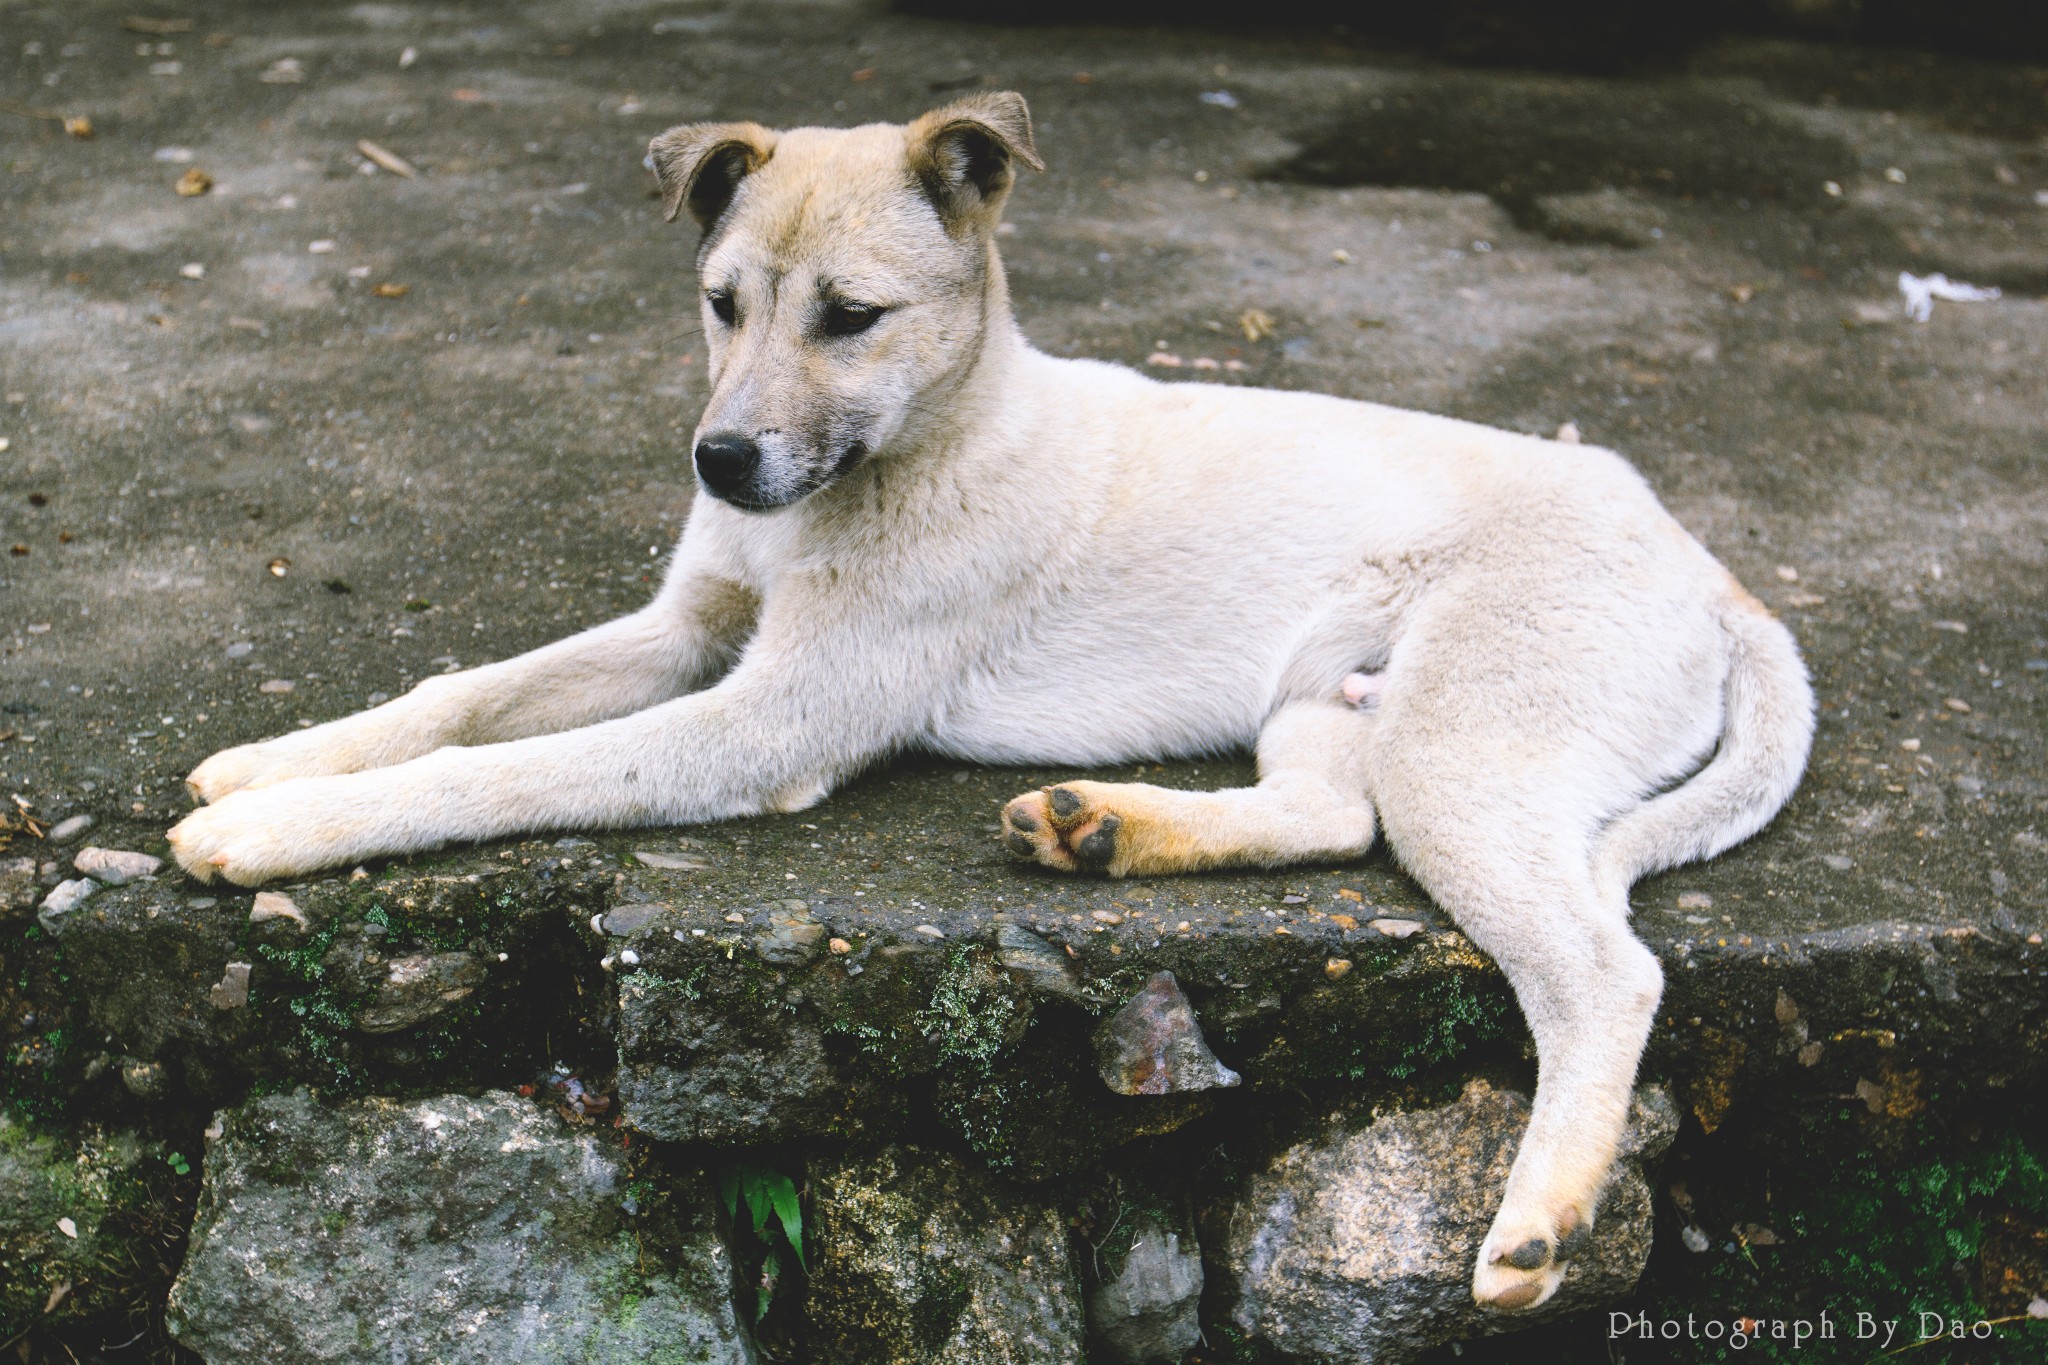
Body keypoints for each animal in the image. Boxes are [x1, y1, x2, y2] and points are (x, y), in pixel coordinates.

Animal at [172, 96, 1810, 1309]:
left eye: (851, 316)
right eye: (719, 305)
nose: (718, 461)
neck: (909, 449)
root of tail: (1709, 568)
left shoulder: (763, 725)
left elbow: (499, 773)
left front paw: (284, 828)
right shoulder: (684, 630)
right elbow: (464, 696)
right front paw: (279, 758)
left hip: (1459, 749)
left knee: (1604, 974)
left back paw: (1540, 1220)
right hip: (1331, 704)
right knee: (1324, 821)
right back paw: (1105, 831)